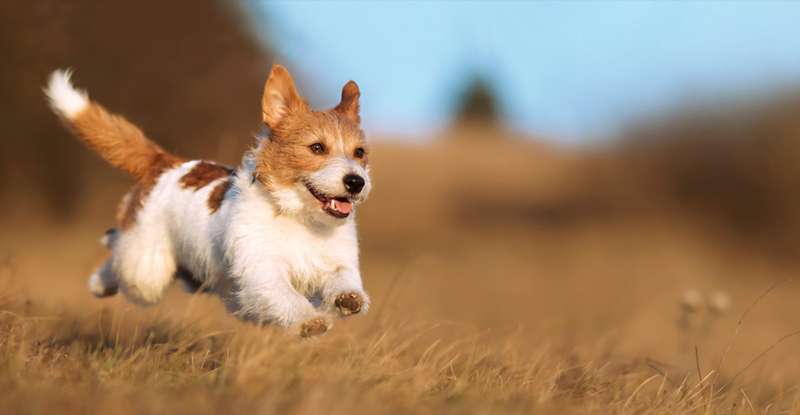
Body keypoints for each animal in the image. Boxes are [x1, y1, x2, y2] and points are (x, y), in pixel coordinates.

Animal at [42, 65, 370, 338]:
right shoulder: (262, 270)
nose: (356, 182)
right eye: (317, 148)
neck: (299, 217)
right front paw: (310, 320)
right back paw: (99, 283)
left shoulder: (336, 261)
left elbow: (342, 278)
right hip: (146, 271)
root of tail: (165, 162)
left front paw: (348, 298)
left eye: (359, 152)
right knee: (118, 252)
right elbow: (284, 295)